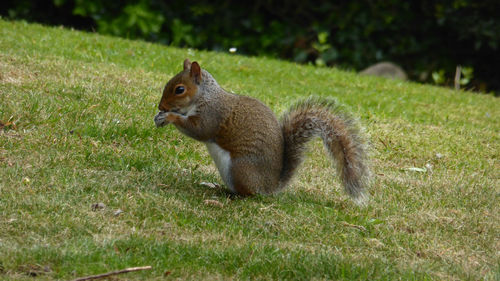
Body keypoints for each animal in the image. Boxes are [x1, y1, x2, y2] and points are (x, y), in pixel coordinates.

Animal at [154, 59, 370, 203]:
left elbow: (199, 130)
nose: (161, 106)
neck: (205, 96)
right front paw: (160, 116)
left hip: (240, 169)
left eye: (179, 89)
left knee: (248, 194)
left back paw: (228, 194)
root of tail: (270, 187)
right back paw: (217, 186)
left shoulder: (212, 115)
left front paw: (170, 117)